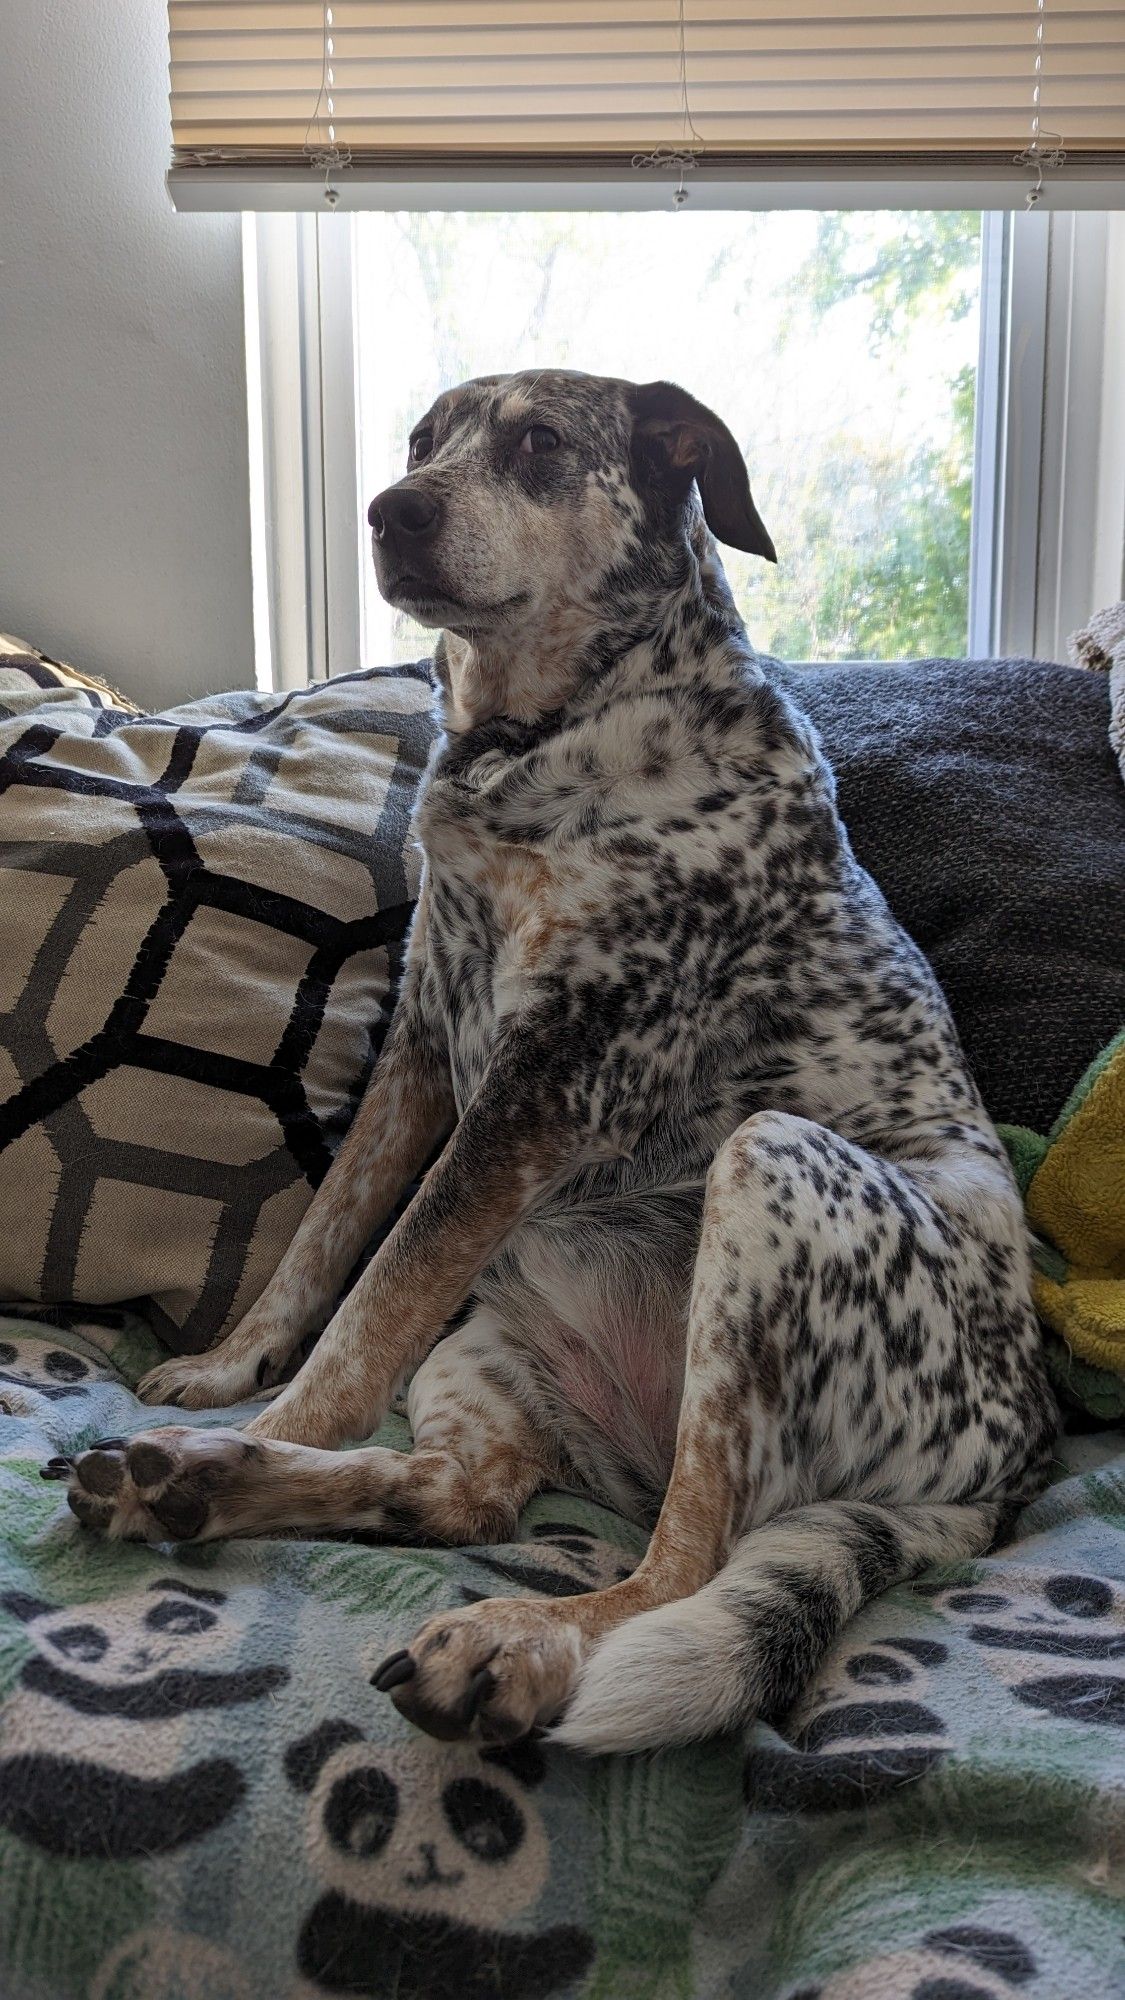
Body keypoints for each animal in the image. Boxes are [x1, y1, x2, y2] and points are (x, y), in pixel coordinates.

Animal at [52, 372, 1048, 1752]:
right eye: (424, 440)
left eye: (538, 442)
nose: (393, 509)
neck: (538, 734)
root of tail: (1012, 1469)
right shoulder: (423, 1034)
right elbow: (326, 1246)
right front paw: (226, 1377)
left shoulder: (544, 1082)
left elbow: (371, 1306)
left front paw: (276, 1410)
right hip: (496, 1324)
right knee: (463, 1495)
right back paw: (190, 1482)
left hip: (769, 1172)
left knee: (677, 1564)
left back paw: (518, 1637)